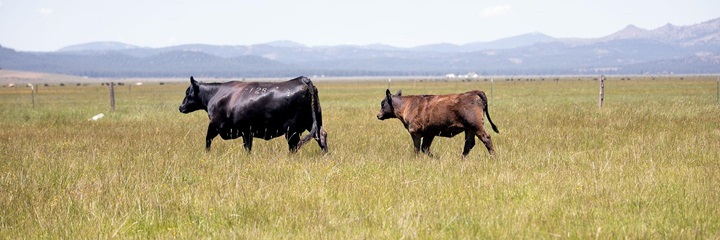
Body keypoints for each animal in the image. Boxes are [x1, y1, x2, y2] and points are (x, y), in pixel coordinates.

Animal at [179, 76, 328, 153]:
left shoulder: (215, 124)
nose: (181, 107)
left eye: (187, 91)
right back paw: (325, 155)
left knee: (294, 145)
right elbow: (248, 147)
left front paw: (207, 154)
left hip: (292, 129)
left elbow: (208, 139)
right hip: (313, 121)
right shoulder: (246, 131)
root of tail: (303, 80)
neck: (215, 94)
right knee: (321, 135)